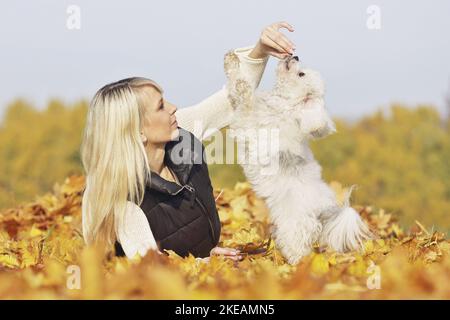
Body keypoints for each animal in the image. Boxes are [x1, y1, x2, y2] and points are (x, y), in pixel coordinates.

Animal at [222, 50, 372, 264]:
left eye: (301, 74)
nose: (295, 56)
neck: (287, 106)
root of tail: (324, 210)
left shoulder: (248, 114)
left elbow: (242, 87)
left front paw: (232, 61)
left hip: (294, 227)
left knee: (298, 249)